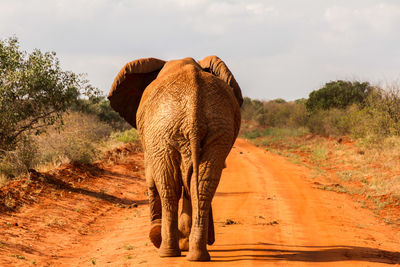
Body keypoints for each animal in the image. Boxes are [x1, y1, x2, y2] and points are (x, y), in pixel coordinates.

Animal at [108, 55, 242, 262]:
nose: (212, 239)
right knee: (201, 184)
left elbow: (151, 175)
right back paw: (196, 255)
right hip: (217, 129)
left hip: (162, 132)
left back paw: (166, 249)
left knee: (168, 185)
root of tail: (194, 112)